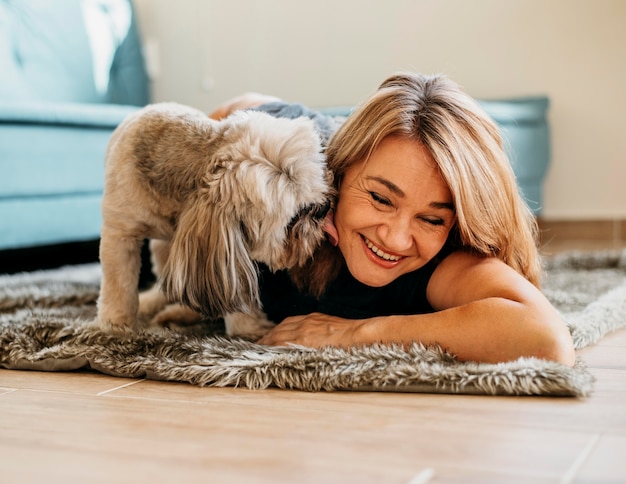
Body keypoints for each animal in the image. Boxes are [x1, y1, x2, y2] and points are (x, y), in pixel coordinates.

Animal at [95, 102, 332, 338]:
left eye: (319, 185)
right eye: (295, 217)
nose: (324, 207)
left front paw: (248, 328)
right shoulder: (119, 235)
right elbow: (119, 286)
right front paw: (117, 326)